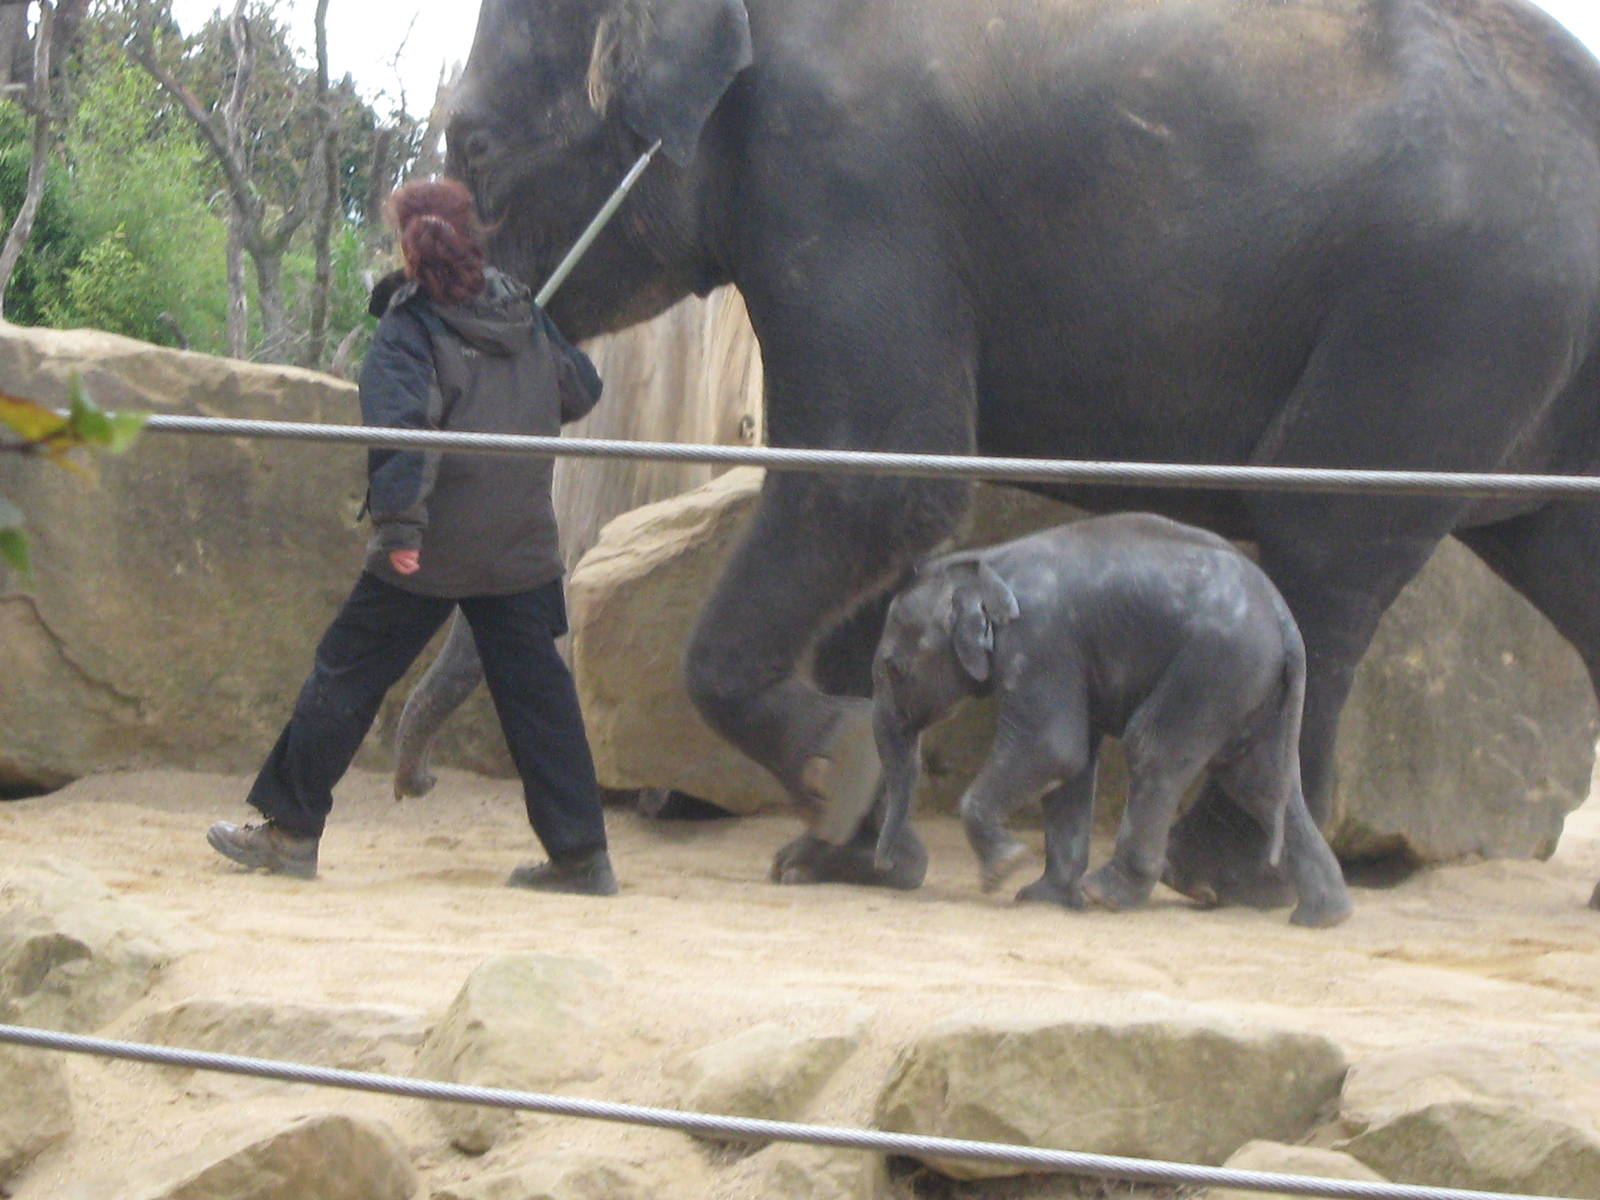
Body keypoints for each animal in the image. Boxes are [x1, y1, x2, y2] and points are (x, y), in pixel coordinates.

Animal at [870, 515, 1353, 928]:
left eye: (894, 668)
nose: (888, 865)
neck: (984, 562)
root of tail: (1283, 618)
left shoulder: (1040, 640)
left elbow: (1051, 749)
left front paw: (1005, 869)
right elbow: (1072, 765)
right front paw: (1042, 899)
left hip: (1217, 664)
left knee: (1154, 748)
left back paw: (1108, 893)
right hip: (1252, 681)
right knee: (1257, 779)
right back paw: (1323, 915)